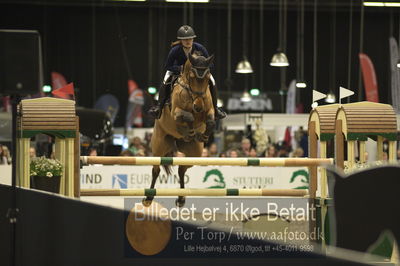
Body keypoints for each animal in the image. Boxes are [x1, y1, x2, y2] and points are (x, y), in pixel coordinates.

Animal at [146, 52, 217, 206]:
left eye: (207, 77)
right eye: (192, 77)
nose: (198, 106)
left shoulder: (209, 111)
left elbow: (211, 121)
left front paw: (202, 135)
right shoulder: (176, 113)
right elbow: (188, 117)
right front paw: (190, 130)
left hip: (195, 154)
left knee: (182, 169)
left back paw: (181, 198)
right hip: (159, 146)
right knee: (156, 169)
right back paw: (148, 198)